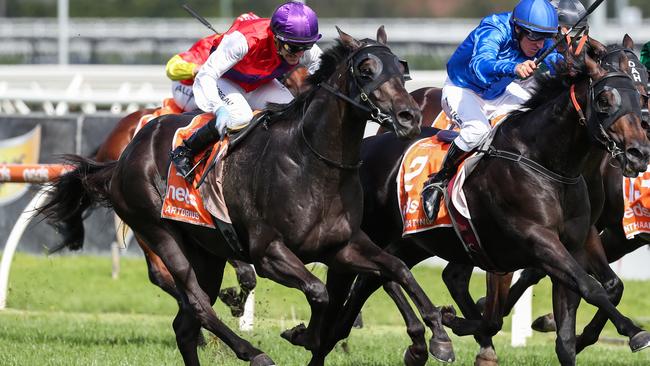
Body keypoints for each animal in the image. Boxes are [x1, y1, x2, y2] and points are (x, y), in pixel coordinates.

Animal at [39, 27, 460, 366]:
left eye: (401, 69)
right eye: (365, 70)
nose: (408, 117)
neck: (312, 162)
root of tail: (124, 155)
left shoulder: (343, 244)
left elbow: (397, 268)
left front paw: (439, 335)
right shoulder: (269, 252)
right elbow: (319, 291)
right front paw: (307, 335)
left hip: (206, 253)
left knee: (185, 325)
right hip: (160, 233)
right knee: (195, 303)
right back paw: (253, 352)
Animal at [308, 40, 648, 366]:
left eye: (639, 95)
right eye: (604, 100)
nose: (639, 152)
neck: (546, 163)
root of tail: (364, 148)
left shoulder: (576, 242)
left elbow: (570, 328)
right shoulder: (538, 241)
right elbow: (589, 287)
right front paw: (633, 330)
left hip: (413, 243)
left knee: (378, 280)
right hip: (364, 239)